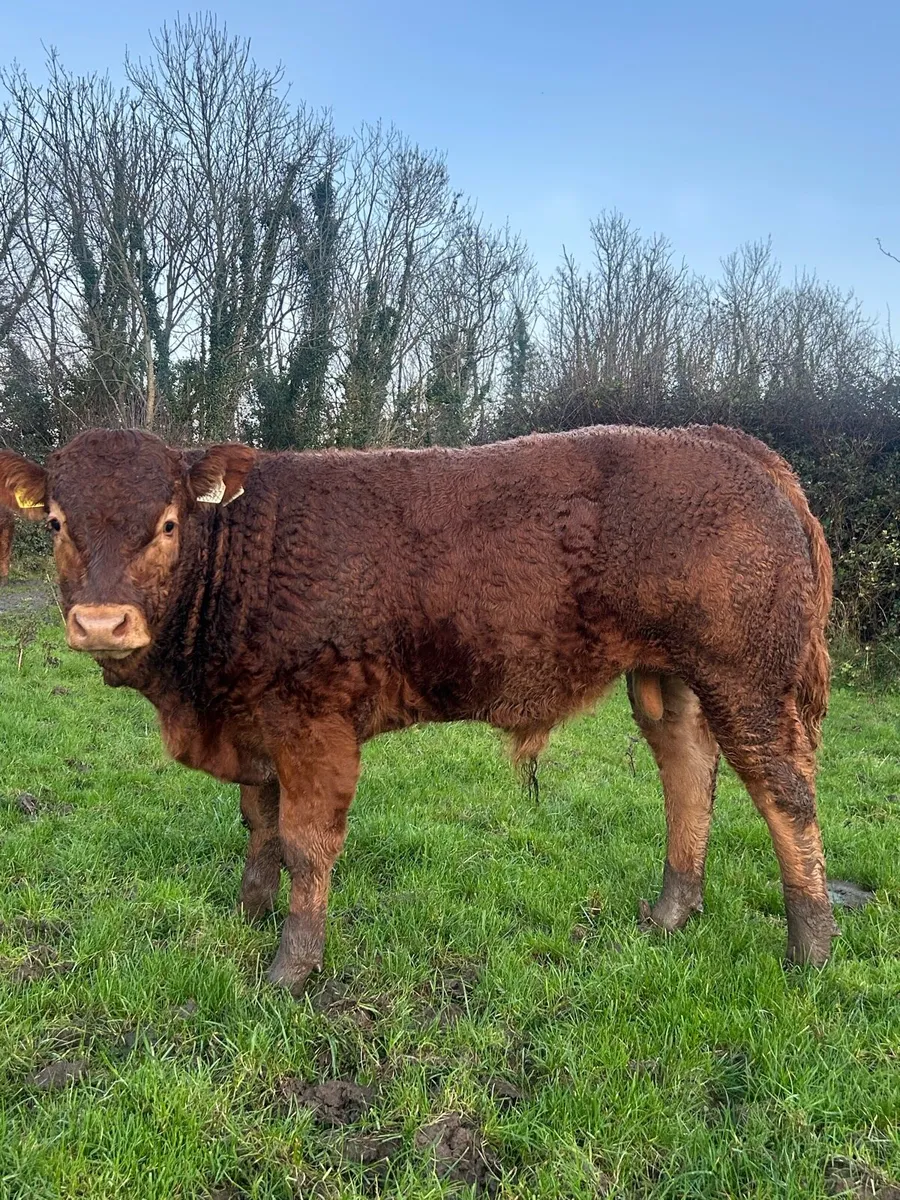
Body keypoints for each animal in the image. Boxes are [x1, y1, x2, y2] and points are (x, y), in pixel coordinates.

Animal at [0, 424, 838, 994]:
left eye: (168, 524)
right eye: (56, 524)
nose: (102, 623)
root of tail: (720, 439)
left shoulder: (314, 723)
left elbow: (306, 842)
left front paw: (290, 968)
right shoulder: (254, 722)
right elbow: (258, 822)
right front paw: (249, 910)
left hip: (747, 679)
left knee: (786, 794)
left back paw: (811, 950)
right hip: (667, 675)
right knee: (688, 772)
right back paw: (671, 913)